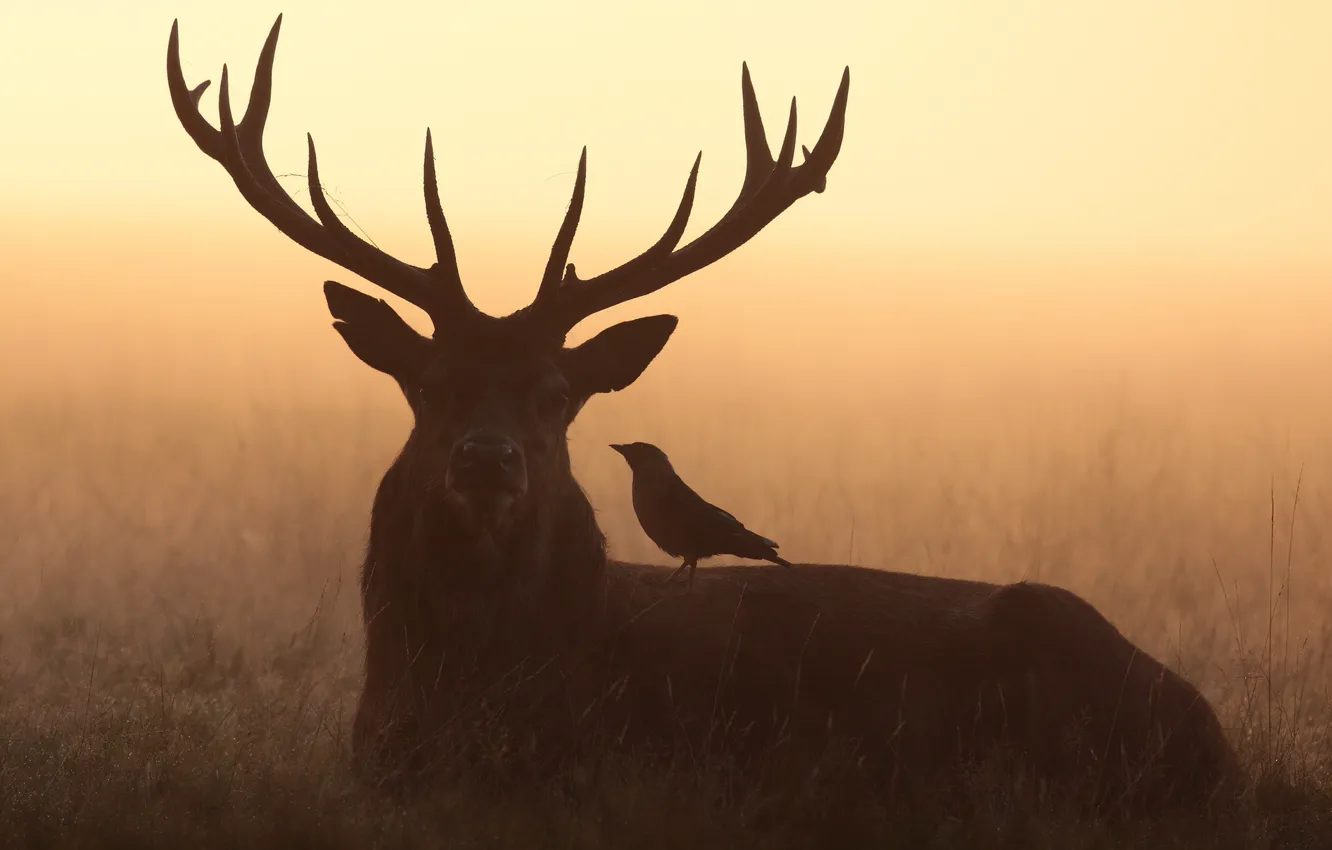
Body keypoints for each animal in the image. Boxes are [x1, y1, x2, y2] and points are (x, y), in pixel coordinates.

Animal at [166, 16, 1241, 815]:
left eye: (558, 394)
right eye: (427, 387)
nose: (487, 459)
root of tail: (1215, 735)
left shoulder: (620, 770)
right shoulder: (375, 763)